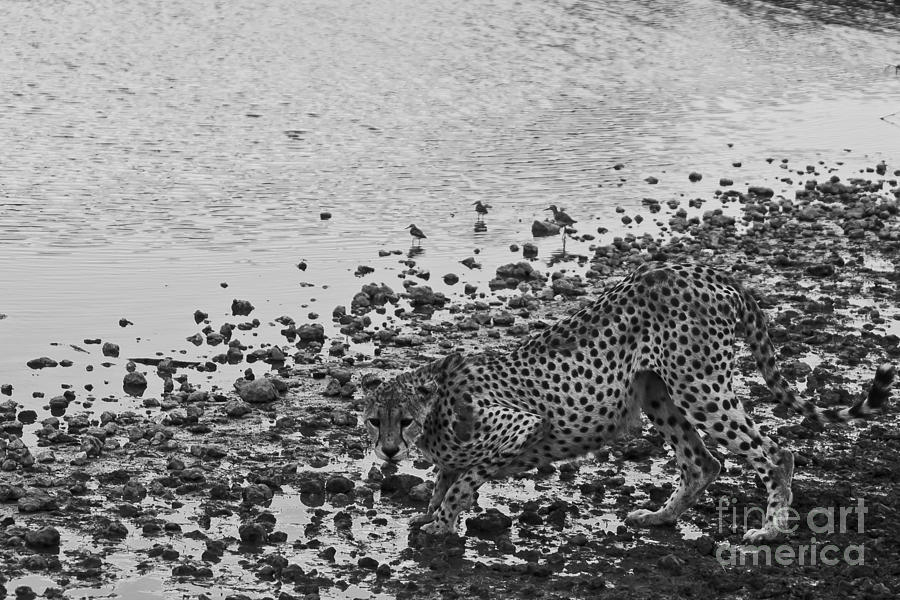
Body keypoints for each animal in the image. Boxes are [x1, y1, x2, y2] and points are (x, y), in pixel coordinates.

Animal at [363, 262, 894, 542]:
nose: (388, 450)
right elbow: (444, 476)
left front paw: (441, 522)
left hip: (699, 387)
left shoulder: (521, 425)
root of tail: (708, 270)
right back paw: (659, 517)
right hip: (659, 393)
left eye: (403, 421)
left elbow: (465, 478)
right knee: (702, 462)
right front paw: (430, 512)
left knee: (775, 452)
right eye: (372, 422)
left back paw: (772, 530)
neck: (436, 406)